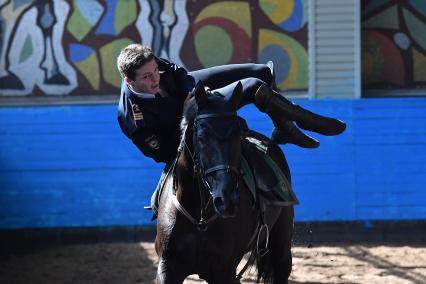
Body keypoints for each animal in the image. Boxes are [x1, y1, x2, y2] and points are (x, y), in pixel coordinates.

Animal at [155, 81, 294, 282]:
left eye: (238, 135)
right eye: (202, 137)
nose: (227, 200)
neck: (200, 220)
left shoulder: (224, 272)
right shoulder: (168, 267)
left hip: (281, 248)